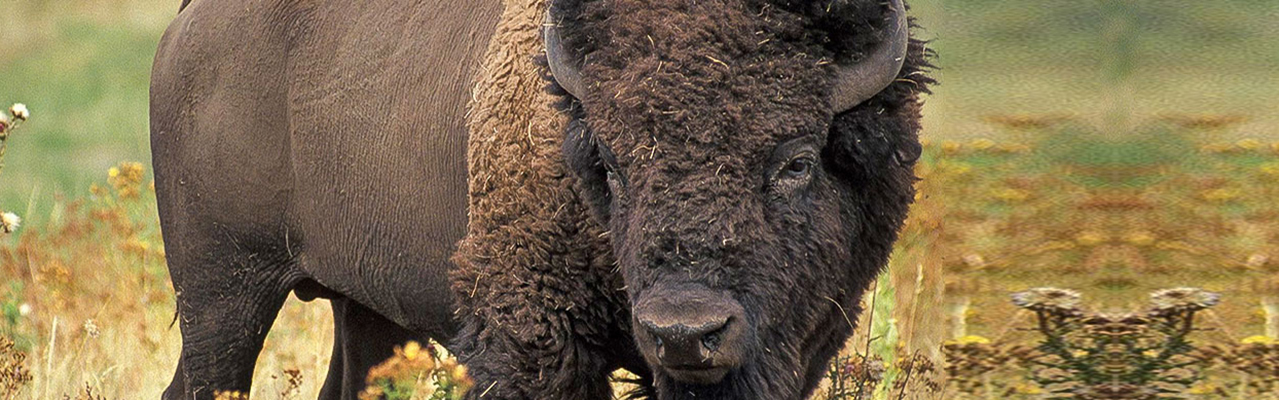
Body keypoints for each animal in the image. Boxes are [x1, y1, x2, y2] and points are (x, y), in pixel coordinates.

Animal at [150, 0, 931, 398]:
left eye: (796, 162)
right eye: (609, 165)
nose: (685, 331)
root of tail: (187, 27)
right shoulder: (537, 342)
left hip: (365, 308)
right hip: (225, 293)